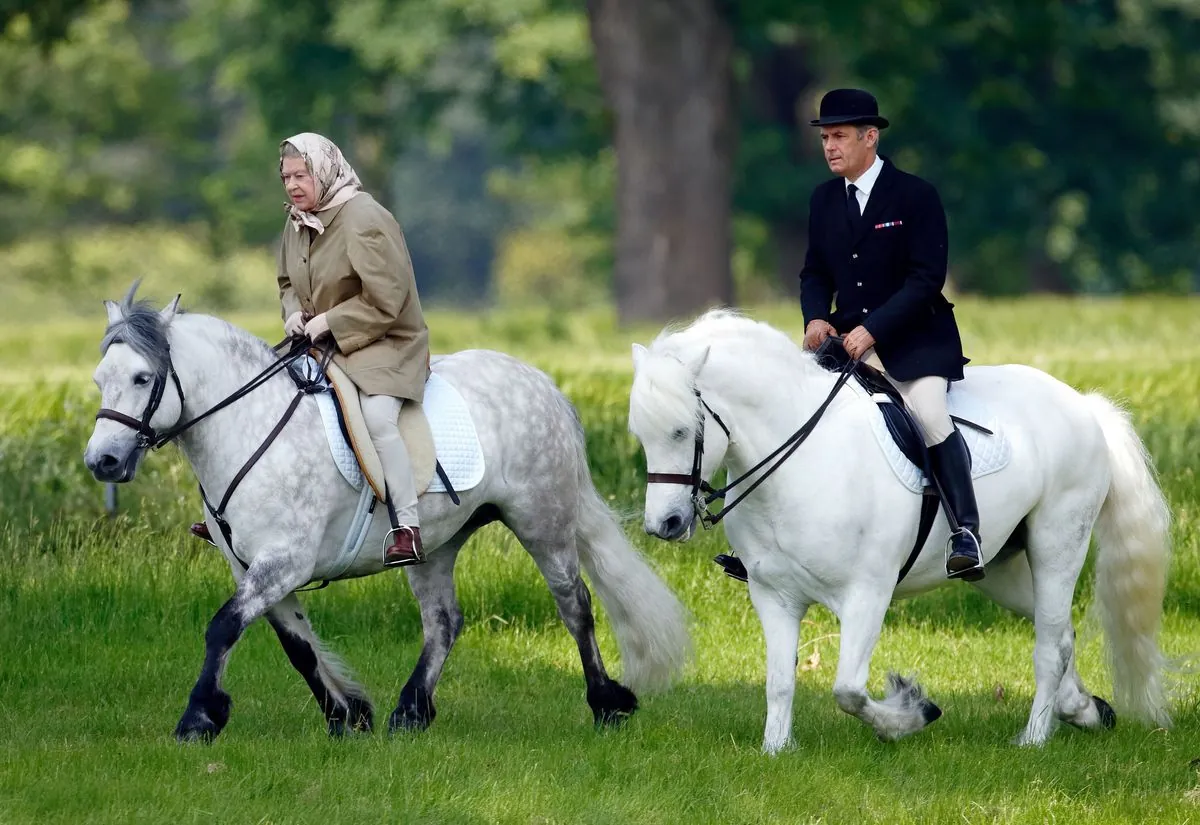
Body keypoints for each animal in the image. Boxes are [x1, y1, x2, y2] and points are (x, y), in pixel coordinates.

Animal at [84, 282, 691, 743]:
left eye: (142, 378)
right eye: (99, 379)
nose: (102, 461)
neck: (250, 426)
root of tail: (541, 381)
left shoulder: (283, 562)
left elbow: (223, 627)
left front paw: (199, 718)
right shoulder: (253, 566)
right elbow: (296, 645)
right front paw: (347, 715)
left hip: (543, 523)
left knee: (575, 606)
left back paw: (606, 704)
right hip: (434, 543)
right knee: (444, 621)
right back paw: (410, 712)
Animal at [628, 309, 1171, 753]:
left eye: (683, 430)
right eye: (642, 434)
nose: (664, 525)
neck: (800, 462)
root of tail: (1083, 404)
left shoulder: (867, 593)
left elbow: (848, 690)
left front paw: (910, 715)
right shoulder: (773, 595)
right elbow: (779, 681)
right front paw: (776, 751)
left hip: (1058, 542)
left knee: (1048, 643)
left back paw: (1034, 738)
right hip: (1001, 569)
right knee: (1058, 632)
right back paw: (1081, 710)